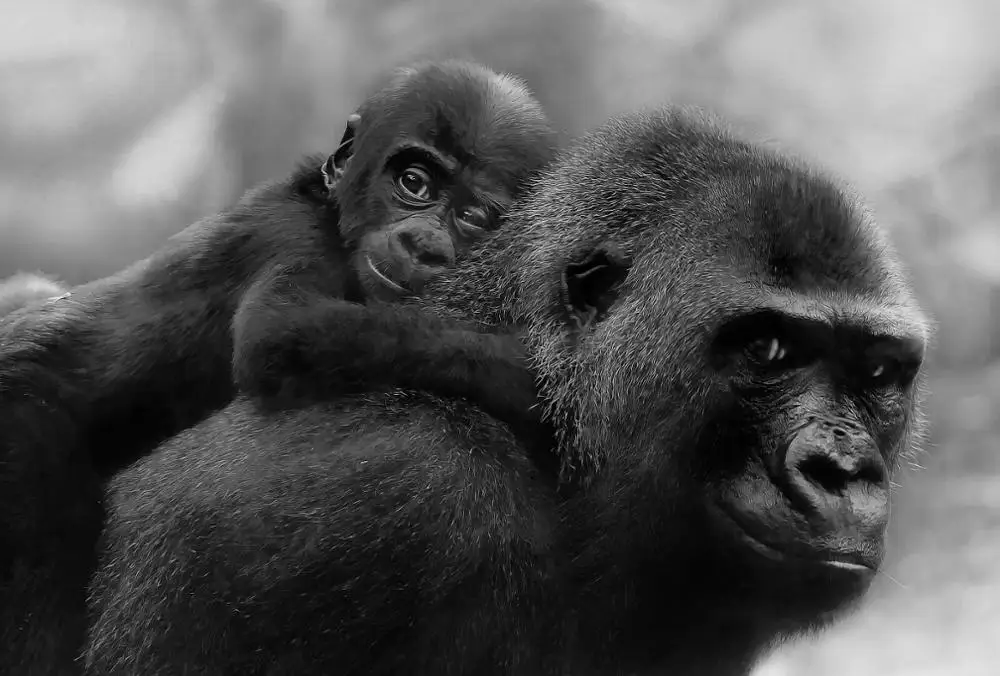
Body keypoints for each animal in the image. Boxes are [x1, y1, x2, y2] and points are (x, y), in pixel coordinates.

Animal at [0, 59, 556, 674]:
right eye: (414, 183)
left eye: (473, 218)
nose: (423, 243)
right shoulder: (293, 230)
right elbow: (280, 326)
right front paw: (529, 371)